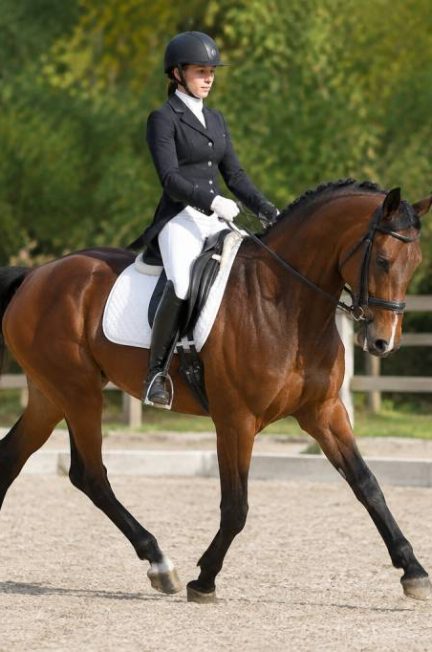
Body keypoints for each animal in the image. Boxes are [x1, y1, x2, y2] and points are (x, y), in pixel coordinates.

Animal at [0, 179, 431, 604]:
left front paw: (413, 571)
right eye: (382, 260)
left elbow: (368, 485)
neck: (287, 305)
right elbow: (236, 506)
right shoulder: (236, 420)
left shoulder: (323, 411)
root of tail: (35, 275)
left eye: (415, 263)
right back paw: (161, 564)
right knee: (91, 475)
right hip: (79, 392)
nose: (383, 342)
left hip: (50, 396)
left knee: (15, 458)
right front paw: (204, 578)